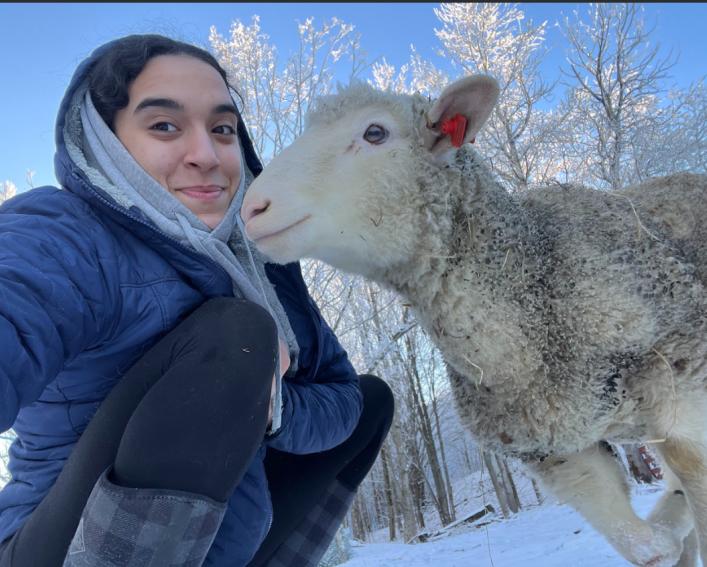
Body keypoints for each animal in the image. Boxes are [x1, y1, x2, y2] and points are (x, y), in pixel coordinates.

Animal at [241, 75, 707, 567]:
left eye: (375, 132)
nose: (253, 208)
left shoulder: (684, 390)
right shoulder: (555, 454)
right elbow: (647, 545)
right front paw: (669, 529)